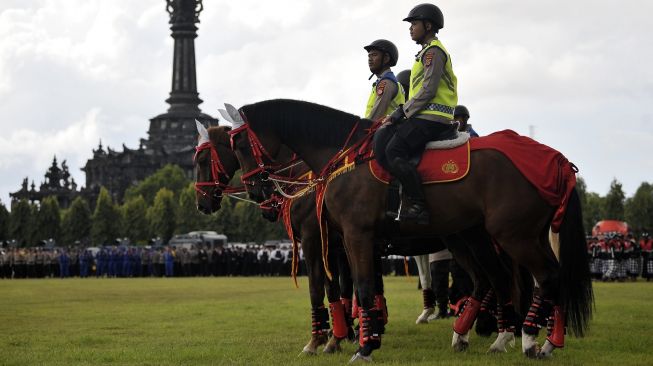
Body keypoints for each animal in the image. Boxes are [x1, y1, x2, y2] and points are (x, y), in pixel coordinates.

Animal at [224, 98, 592, 360]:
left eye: (239, 146)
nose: (257, 191)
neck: (341, 159)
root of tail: (554, 159)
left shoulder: (349, 237)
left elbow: (355, 288)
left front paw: (359, 345)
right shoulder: (343, 242)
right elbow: (353, 289)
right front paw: (355, 337)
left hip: (512, 236)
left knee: (542, 277)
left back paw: (527, 339)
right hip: (494, 236)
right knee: (512, 279)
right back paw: (524, 339)